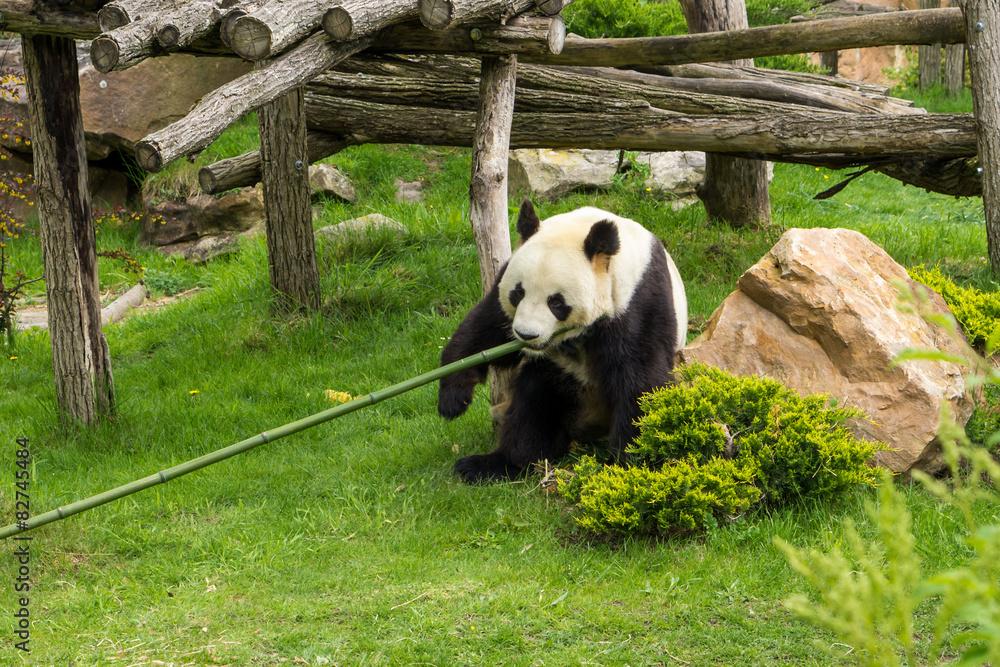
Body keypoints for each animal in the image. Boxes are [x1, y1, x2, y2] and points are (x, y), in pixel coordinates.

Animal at [438, 199, 688, 483]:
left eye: (556, 302)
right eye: (518, 293)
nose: (526, 335)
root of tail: (590, 423)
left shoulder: (637, 299)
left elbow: (639, 378)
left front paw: (627, 465)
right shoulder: (506, 281)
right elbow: (485, 331)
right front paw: (452, 400)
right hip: (559, 377)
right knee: (533, 406)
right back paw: (493, 464)